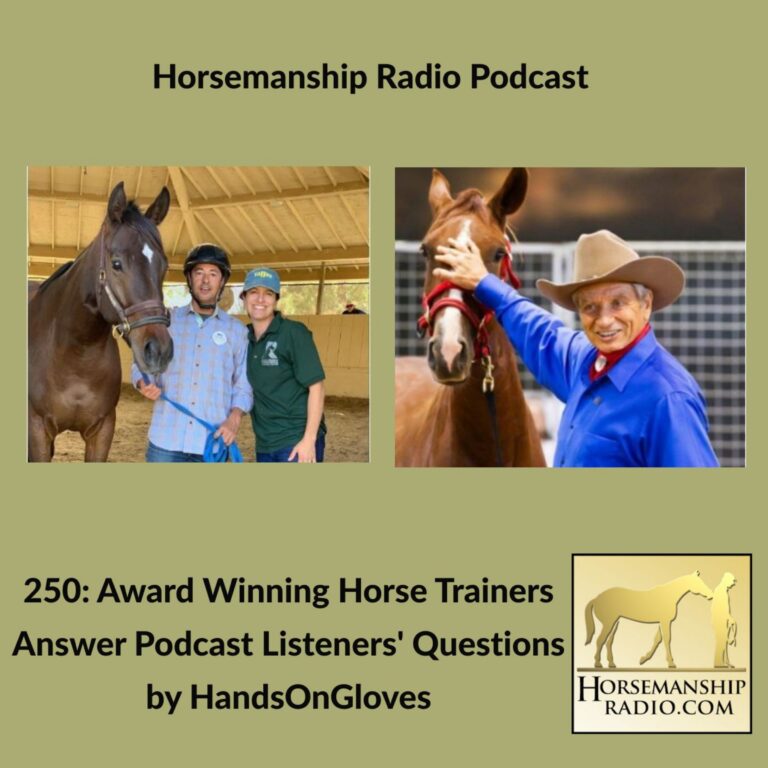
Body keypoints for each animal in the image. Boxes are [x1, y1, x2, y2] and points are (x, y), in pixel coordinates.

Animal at [28, 182, 174, 462]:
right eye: (116, 264)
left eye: (164, 266)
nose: (158, 351)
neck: (76, 352)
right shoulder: (37, 430)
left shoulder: (102, 431)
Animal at [584, 570, 714, 669]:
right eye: (699, 582)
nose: (711, 595)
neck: (668, 595)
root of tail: (596, 599)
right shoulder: (665, 621)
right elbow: (667, 639)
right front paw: (671, 663)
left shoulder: (661, 622)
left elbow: (657, 639)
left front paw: (643, 659)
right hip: (608, 623)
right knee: (600, 640)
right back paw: (597, 663)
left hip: (615, 623)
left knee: (608, 642)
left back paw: (611, 664)